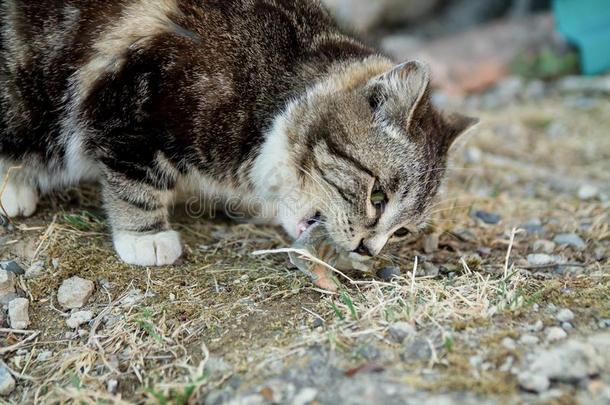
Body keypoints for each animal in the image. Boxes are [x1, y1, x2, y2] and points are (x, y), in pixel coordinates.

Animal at [0, 0, 476, 266]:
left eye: (404, 232)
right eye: (377, 195)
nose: (367, 250)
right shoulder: (133, 103)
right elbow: (136, 179)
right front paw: (146, 238)